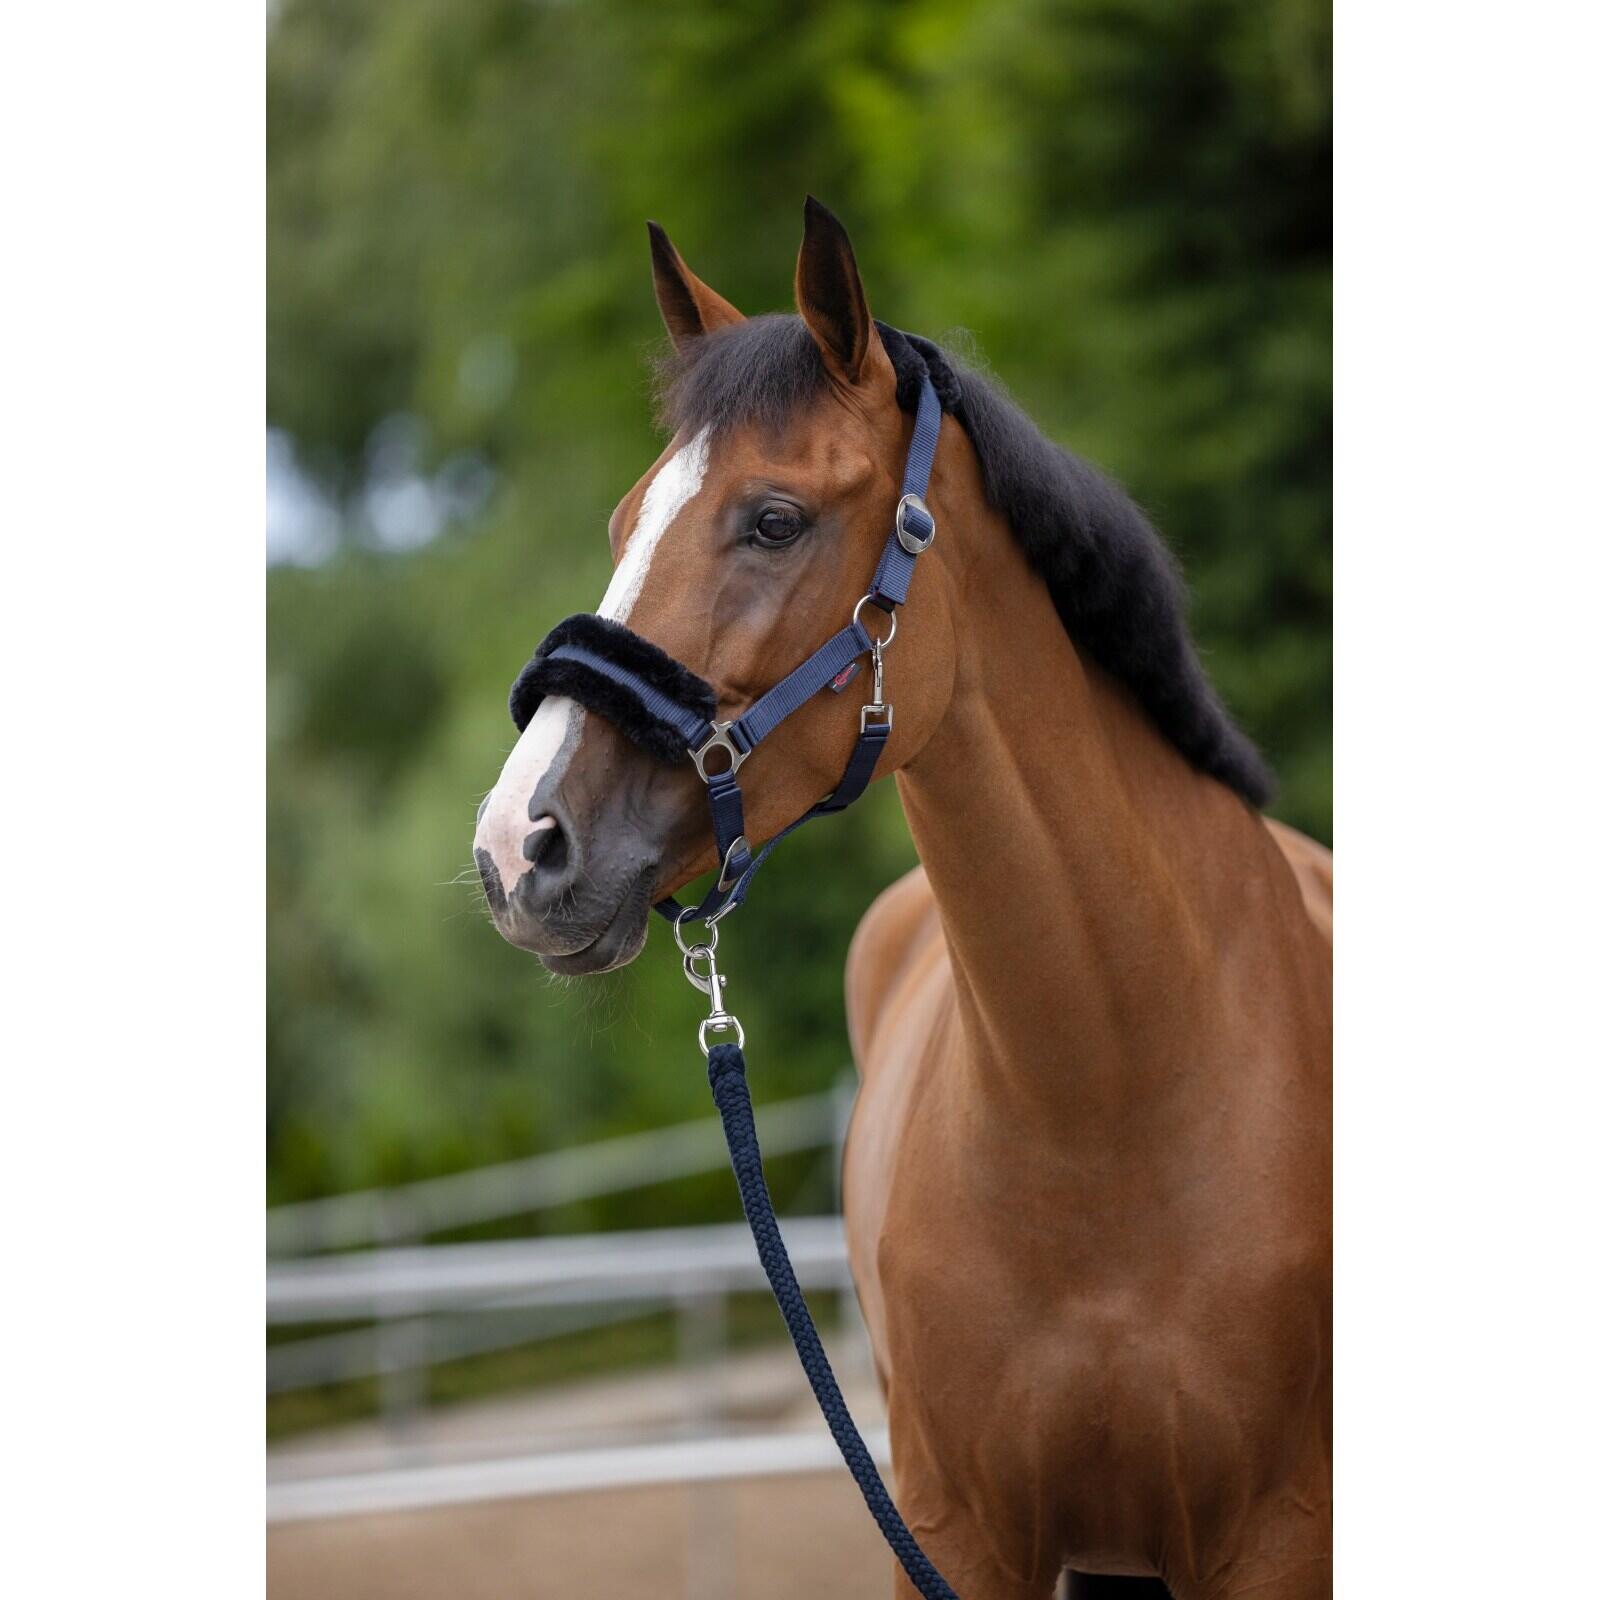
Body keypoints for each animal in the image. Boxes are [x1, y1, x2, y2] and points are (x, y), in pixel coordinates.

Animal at [473, 198, 1332, 1600]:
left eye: (774, 520)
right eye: (621, 526)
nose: (517, 847)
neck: (1110, 1100)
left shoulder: (1276, 1541)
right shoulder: (950, 1533)